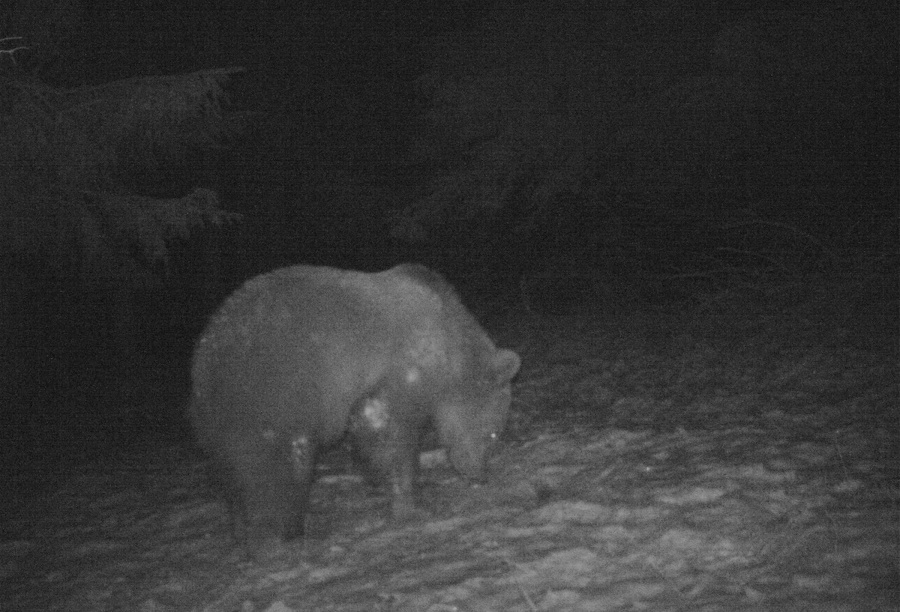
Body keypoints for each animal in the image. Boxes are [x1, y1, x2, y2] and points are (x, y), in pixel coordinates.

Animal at [186, 262, 520, 560]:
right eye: (493, 433)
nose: (479, 474)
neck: (450, 346)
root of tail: (202, 367)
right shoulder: (399, 369)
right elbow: (394, 436)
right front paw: (412, 504)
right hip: (266, 404)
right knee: (274, 474)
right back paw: (278, 541)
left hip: (220, 431)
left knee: (236, 483)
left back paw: (248, 533)